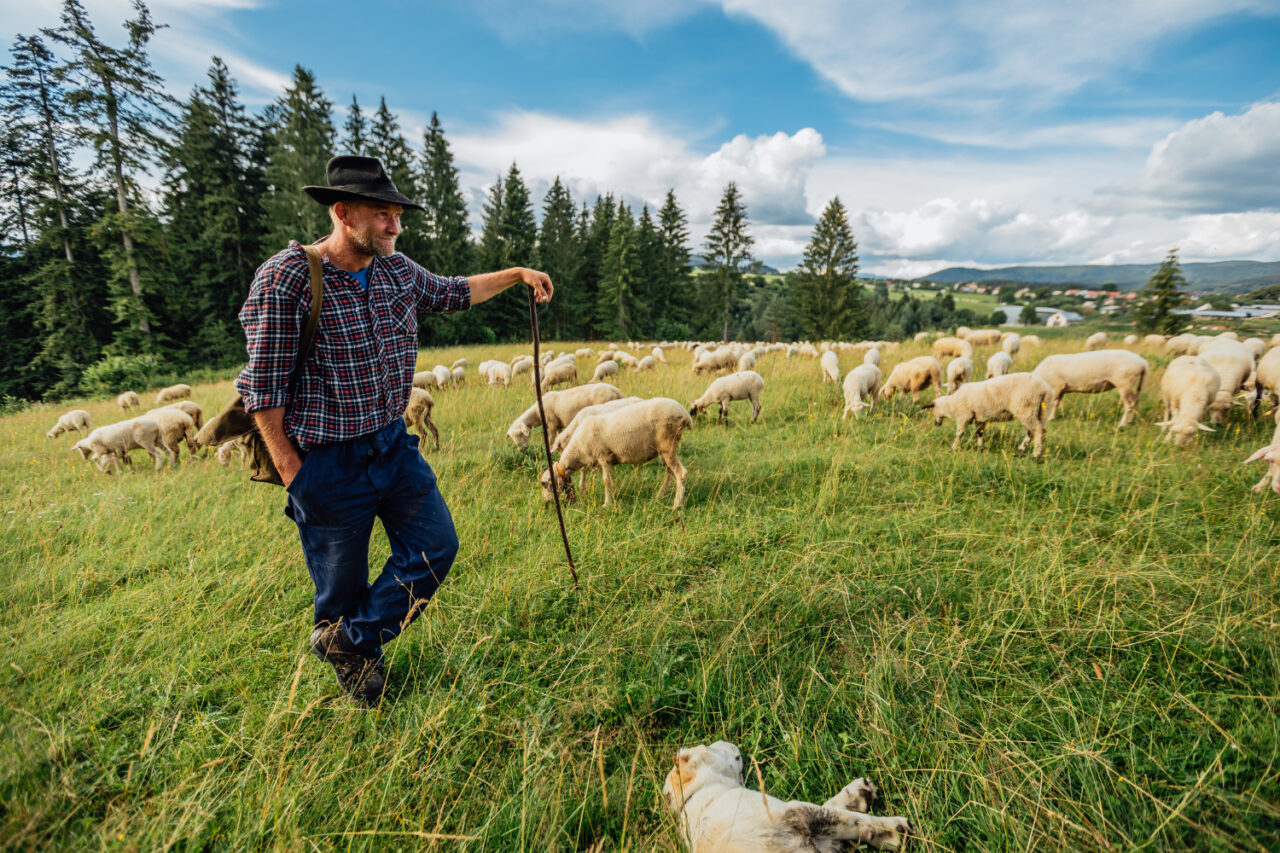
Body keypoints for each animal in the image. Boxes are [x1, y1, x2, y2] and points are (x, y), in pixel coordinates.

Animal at [545, 397, 696, 507]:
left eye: (545, 483)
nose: (546, 503)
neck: (578, 447)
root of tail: (685, 414)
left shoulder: (603, 456)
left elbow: (606, 481)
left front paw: (607, 504)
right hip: (666, 448)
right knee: (670, 471)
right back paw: (659, 495)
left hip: (668, 444)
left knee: (681, 473)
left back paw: (677, 505)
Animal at [926, 368, 1054, 455]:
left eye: (933, 411)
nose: (936, 424)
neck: (952, 404)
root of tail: (1044, 388)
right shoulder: (980, 419)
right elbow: (980, 433)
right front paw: (980, 449)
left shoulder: (964, 416)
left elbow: (959, 433)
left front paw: (953, 448)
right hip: (1039, 411)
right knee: (1035, 432)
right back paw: (1021, 451)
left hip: (1026, 408)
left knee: (1038, 431)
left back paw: (1035, 455)